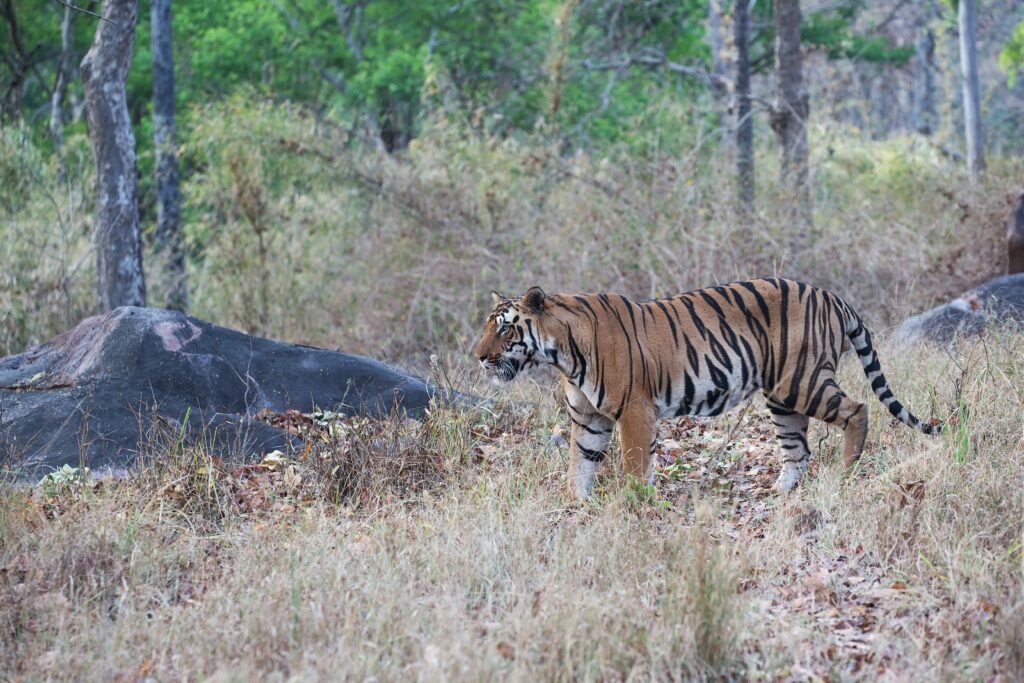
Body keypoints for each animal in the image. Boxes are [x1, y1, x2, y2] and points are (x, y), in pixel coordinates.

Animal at [475, 280, 937, 499]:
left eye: (505, 329)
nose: (477, 356)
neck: (563, 355)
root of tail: (835, 297)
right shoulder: (590, 418)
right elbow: (581, 465)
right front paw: (579, 504)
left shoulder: (634, 410)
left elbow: (633, 464)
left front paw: (634, 504)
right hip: (781, 396)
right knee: (798, 448)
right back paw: (781, 492)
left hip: (802, 381)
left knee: (858, 410)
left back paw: (845, 473)